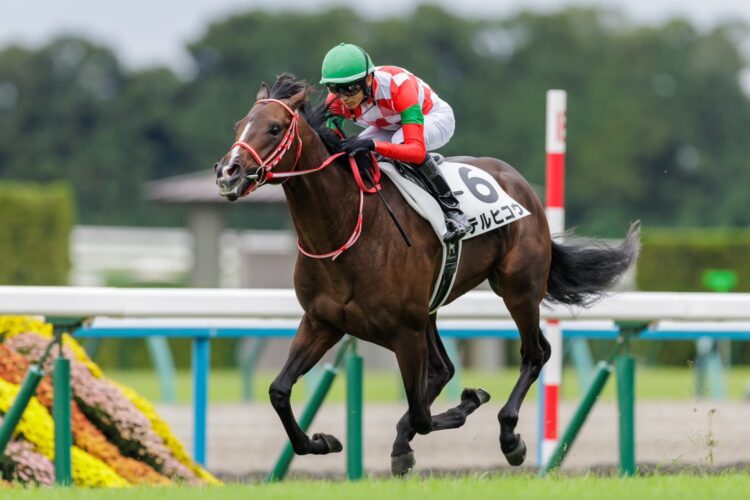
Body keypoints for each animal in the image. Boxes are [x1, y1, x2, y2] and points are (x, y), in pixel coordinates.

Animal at [214, 74, 640, 475]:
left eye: (274, 128)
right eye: (238, 126)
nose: (228, 172)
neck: (344, 230)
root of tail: (520, 184)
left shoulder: (404, 330)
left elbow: (421, 413)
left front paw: (469, 402)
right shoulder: (324, 322)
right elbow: (279, 390)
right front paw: (322, 442)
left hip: (518, 289)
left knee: (534, 353)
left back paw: (508, 437)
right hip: (432, 308)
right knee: (444, 369)